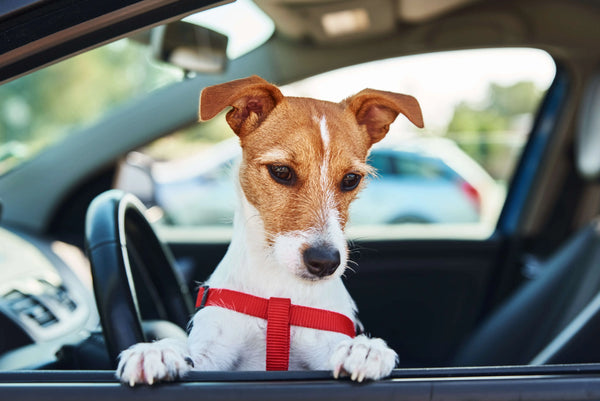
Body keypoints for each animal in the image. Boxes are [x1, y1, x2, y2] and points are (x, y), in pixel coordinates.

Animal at [117, 75, 424, 384]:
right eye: (281, 171)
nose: (325, 262)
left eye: (351, 179)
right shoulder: (215, 354)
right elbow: (193, 354)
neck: (278, 297)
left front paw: (365, 348)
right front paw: (158, 350)